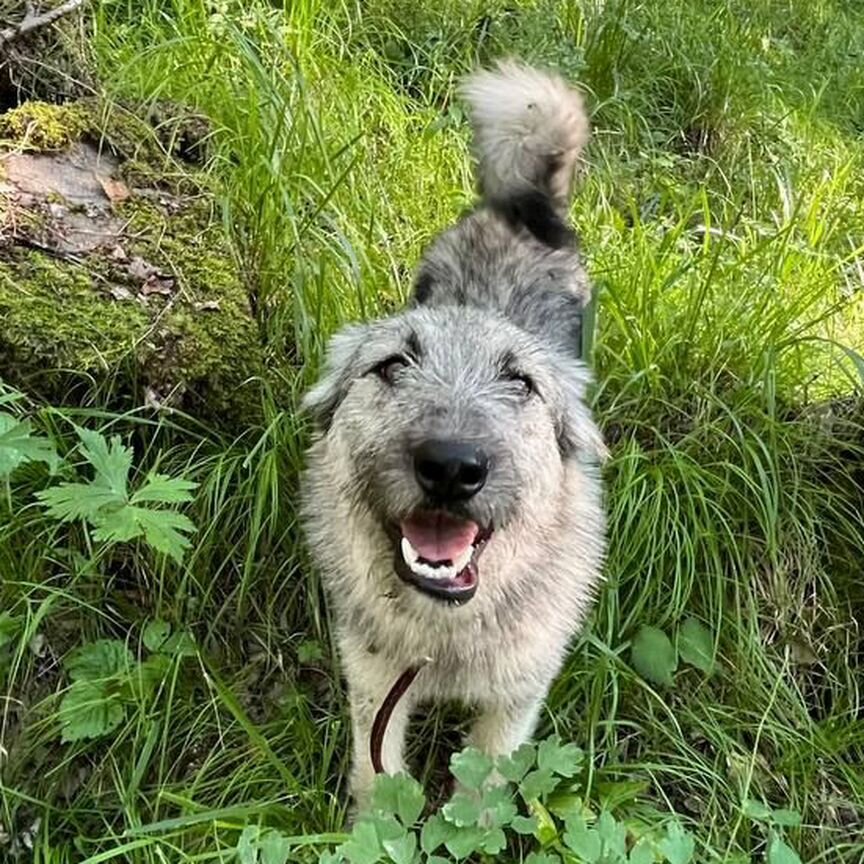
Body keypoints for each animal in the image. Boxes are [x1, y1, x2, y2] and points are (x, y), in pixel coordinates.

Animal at [304, 60, 608, 808]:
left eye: (521, 382)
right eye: (393, 365)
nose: (450, 466)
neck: (443, 633)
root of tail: (522, 205)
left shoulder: (518, 698)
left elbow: (485, 790)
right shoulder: (376, 685)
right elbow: (377, 777)